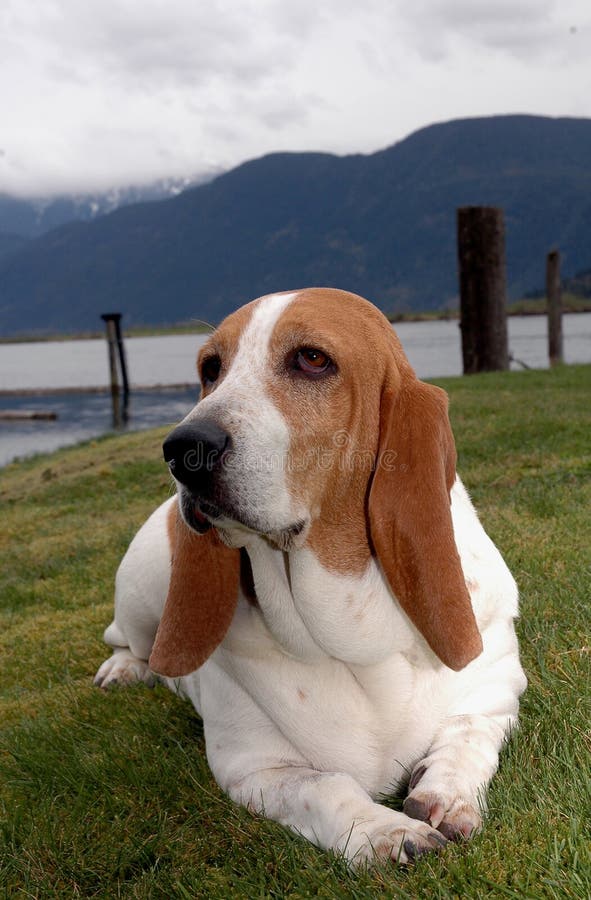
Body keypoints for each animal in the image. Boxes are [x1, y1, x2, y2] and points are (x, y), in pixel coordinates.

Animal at [93, 288, 528, 864]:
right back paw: (124, 669)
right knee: (125, 640)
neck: (348, 634)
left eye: (313, 359)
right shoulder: (251, 766)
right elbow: (327, 788)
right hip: (141, 598)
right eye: (211, 368)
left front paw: (446, 793)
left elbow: (467, 734)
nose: (183, 448)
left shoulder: (499, 690)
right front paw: (386, 832)